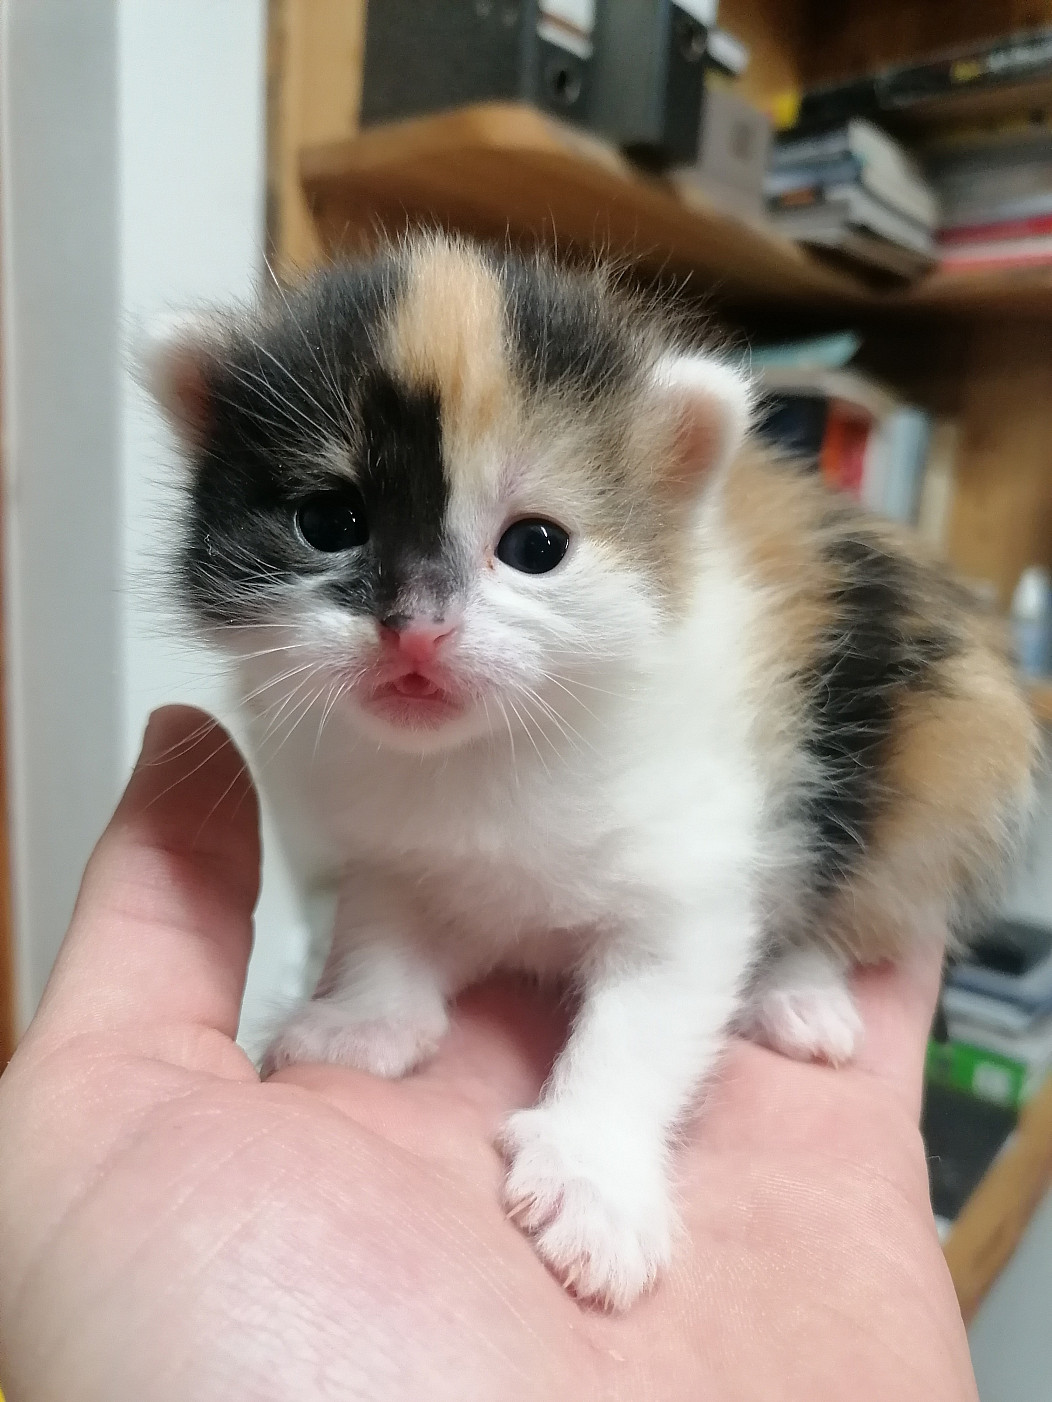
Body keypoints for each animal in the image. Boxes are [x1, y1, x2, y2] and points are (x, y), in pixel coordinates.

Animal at [149, 233, 1036, 1309]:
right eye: (330, 521)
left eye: (536, 545)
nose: (416, 631)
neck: (488, 752)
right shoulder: (398, 849)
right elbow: (384, 925)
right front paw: (361, 1023)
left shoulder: (689, 873)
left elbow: (644, 1023)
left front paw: (596, 1182)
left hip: (943, 752)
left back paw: (800, 992)